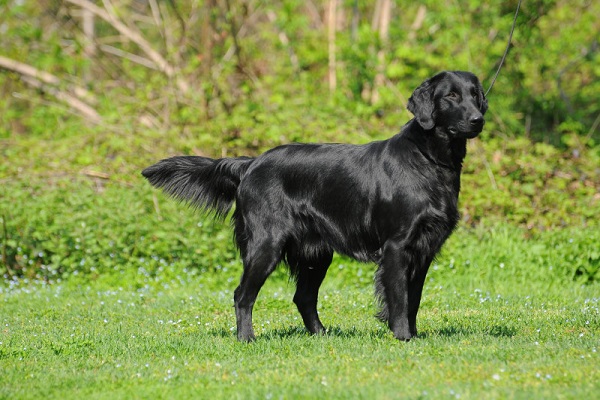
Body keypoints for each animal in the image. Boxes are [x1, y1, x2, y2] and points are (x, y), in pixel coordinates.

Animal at [144, 72, 488, 340]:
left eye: (475, 94)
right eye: (451, 96)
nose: (478, 119)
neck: (429, 159)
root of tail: (251, 163)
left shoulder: (424, 249)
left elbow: (413, 298)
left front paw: (414, 336)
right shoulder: (397, 245)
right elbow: (400, 298)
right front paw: (403, 336)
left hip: (316, 252)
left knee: (303, 297)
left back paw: (322, 335)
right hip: (267, 243)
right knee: (243, 294)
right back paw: (246, 338)